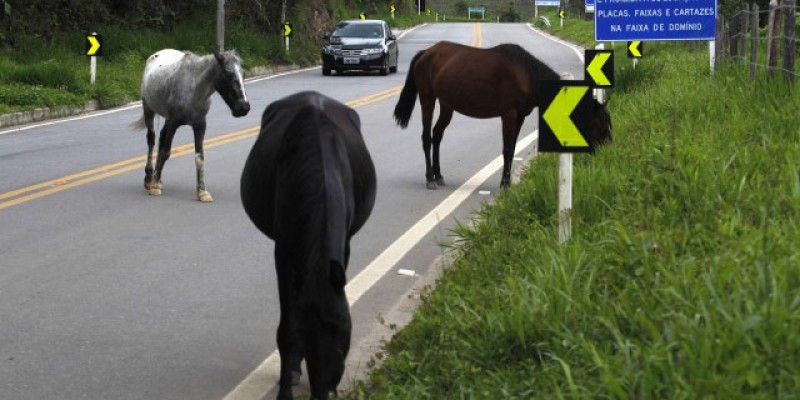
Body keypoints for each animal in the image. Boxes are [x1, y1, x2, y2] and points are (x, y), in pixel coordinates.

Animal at [134, 48, 250, 202]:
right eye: (227, 73)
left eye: (243, 73)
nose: (244, 107)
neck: (194, 92)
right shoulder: (174, 122)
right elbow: (166, 152)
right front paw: (155, 186)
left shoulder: (200, 125)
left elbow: (199, 157)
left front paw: (202, 191)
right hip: (148, 109)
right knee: (151, 139)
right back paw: (149, 179)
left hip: (166, 118)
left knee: (161, 137)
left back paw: (156, 178)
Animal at [239, 91, 376, 400]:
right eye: (306, 331)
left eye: (342, 331)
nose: (323, 389)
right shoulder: (283, 250)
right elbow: (287, 329)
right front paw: (285, 388)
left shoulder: (342, 247)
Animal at [394, 40, 612, 189]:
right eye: (601, 127)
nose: (605, 158)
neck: (526, 74)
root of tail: (426, 53)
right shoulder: (509, 115)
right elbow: (507, 149)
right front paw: (505, 183)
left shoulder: (520, 116)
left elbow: (512, 148)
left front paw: (507, 181)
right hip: (428, 99)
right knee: (426, 138)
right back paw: (430, 177)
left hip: (447, 105)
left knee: (437, 135)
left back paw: (438, 175)